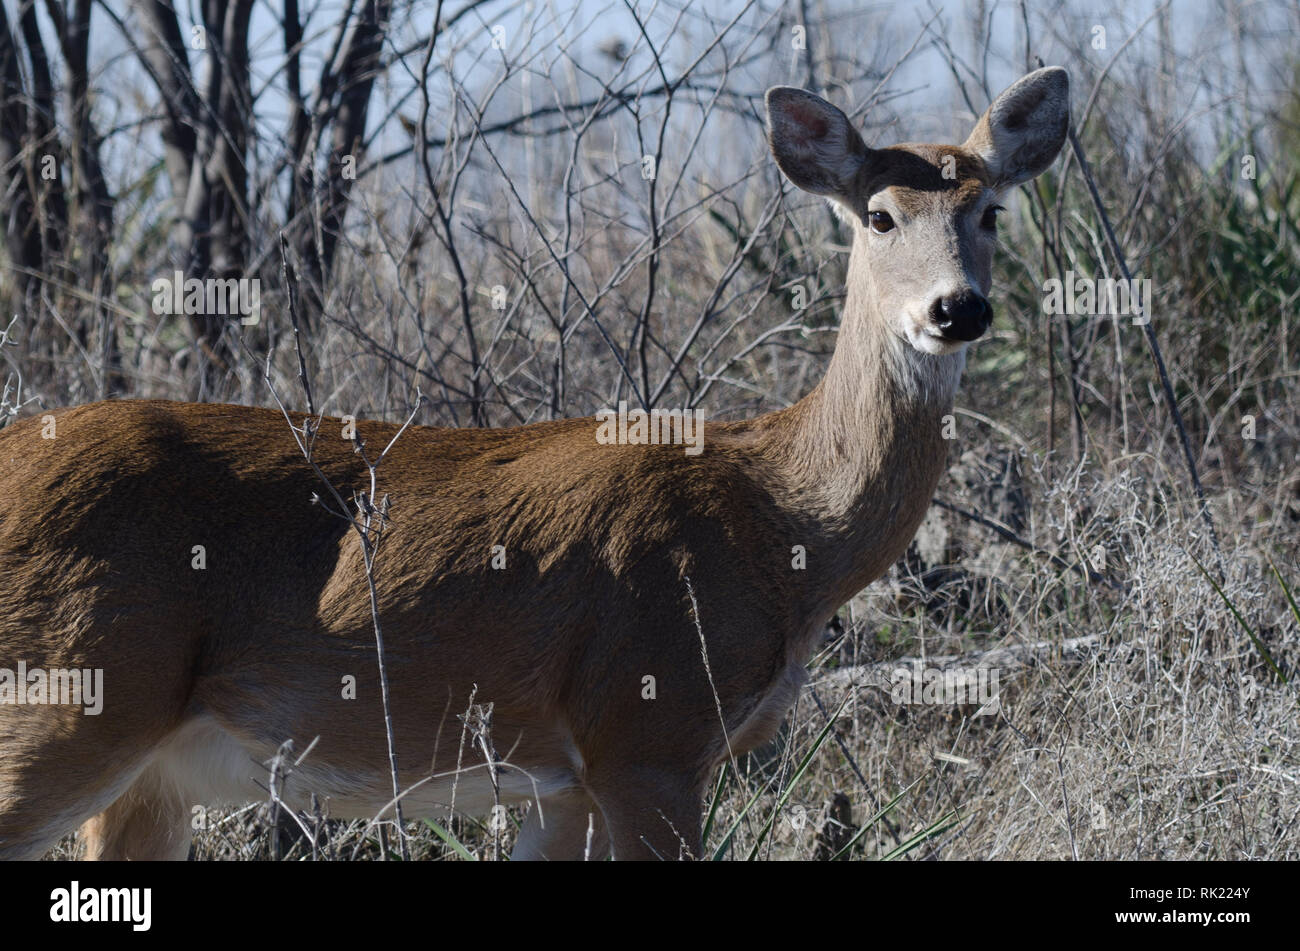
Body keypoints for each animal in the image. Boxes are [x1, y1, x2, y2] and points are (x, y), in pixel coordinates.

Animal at [0, 68, 1071, 862]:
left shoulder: (569, 777)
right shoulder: (647, 727)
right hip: (68, 690)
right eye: (879, 215)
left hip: (148, 772)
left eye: (992, 212)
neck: (782, 518)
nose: (957, 309)